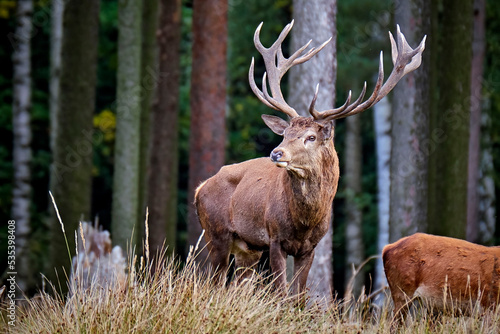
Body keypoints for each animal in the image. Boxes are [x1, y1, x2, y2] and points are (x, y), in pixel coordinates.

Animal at [195, 21, 426, 298]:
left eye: (311, 137)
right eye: (285, 134)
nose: (276, 153)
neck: (304, 222)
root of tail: (200, 188)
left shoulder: (311, 247)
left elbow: (298, 296)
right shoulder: (274, 238)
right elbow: (281, 293)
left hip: (247, 248)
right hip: (216, 234)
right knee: (213, 283)